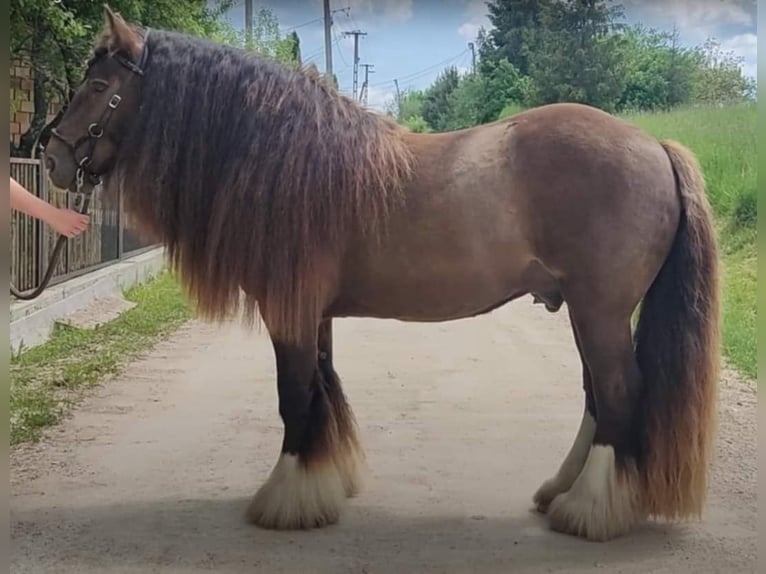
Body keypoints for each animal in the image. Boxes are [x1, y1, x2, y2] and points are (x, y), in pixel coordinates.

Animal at [45, 5, 724, 544]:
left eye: (98, 84)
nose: (50, 158)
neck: (286, 162)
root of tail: (654, 146)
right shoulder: (312, 313)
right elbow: (322, 391)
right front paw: (324, 484)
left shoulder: (289, 312)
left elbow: (295, 397)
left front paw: (286, 500)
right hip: (588, 311)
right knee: (596, 398)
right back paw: (562, 491)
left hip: (599, 310)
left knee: (618, 394)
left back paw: (590, 511)